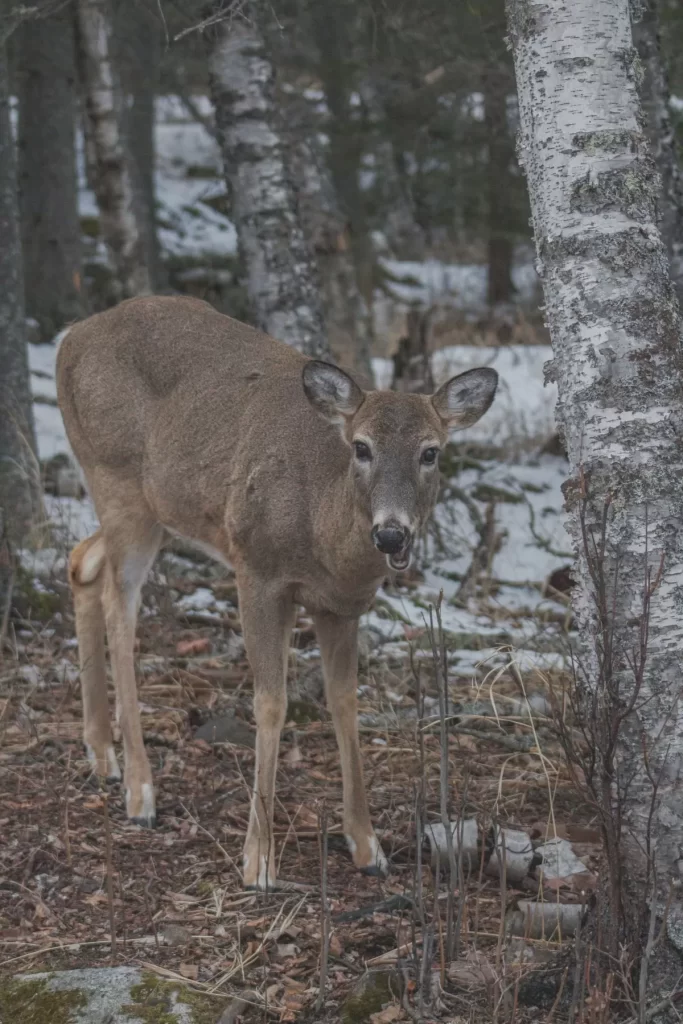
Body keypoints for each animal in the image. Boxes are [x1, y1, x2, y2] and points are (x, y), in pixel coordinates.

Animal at [57, 296, 497, 888]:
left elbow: (345, 703)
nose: (391, 534)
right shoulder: (258, 572)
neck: (325, 535)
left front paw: (367, 845)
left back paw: (101, 752)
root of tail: (70, 336)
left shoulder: (342, 607)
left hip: (157, 506)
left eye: (431, 452)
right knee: (119, 609)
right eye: (361, 447)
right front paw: (258, 859)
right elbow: (271, 702)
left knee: (81, 561)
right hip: (116, 478)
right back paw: (139, 790)